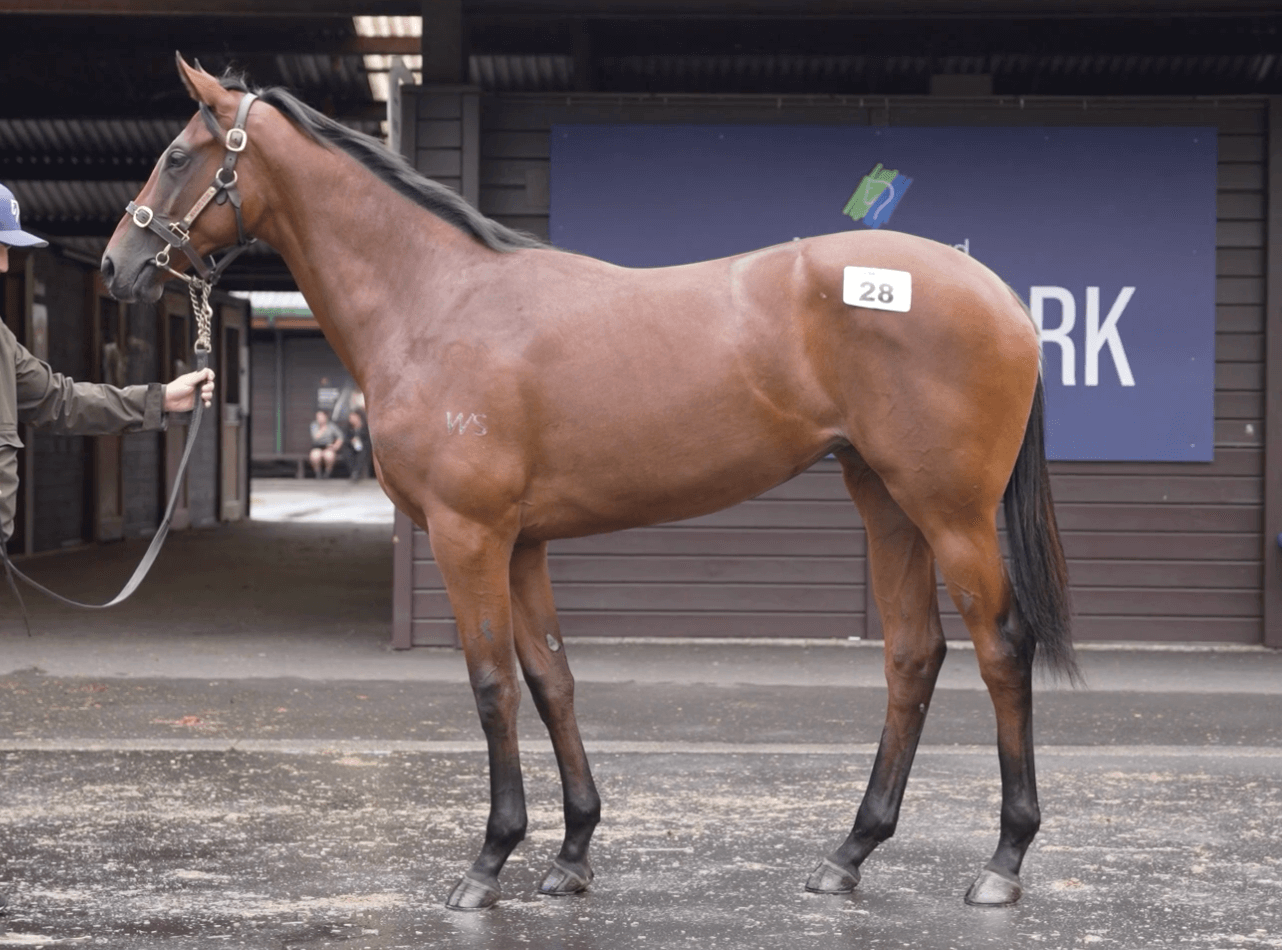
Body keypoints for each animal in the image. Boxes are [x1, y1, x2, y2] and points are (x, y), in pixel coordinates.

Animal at [102, 56, 1077, 912]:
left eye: (178, 155)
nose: (118, 265)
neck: (438, 301)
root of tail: (1001, 296)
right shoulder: (524, 543)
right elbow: (551, 681)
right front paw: (570, 853)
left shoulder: (468, 536)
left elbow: (491, 684)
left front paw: (489, 862)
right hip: (886, 502)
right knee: (911, 655)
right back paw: (848, 854)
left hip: (950, 512)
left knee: (1001, 648)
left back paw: (1002, 862)